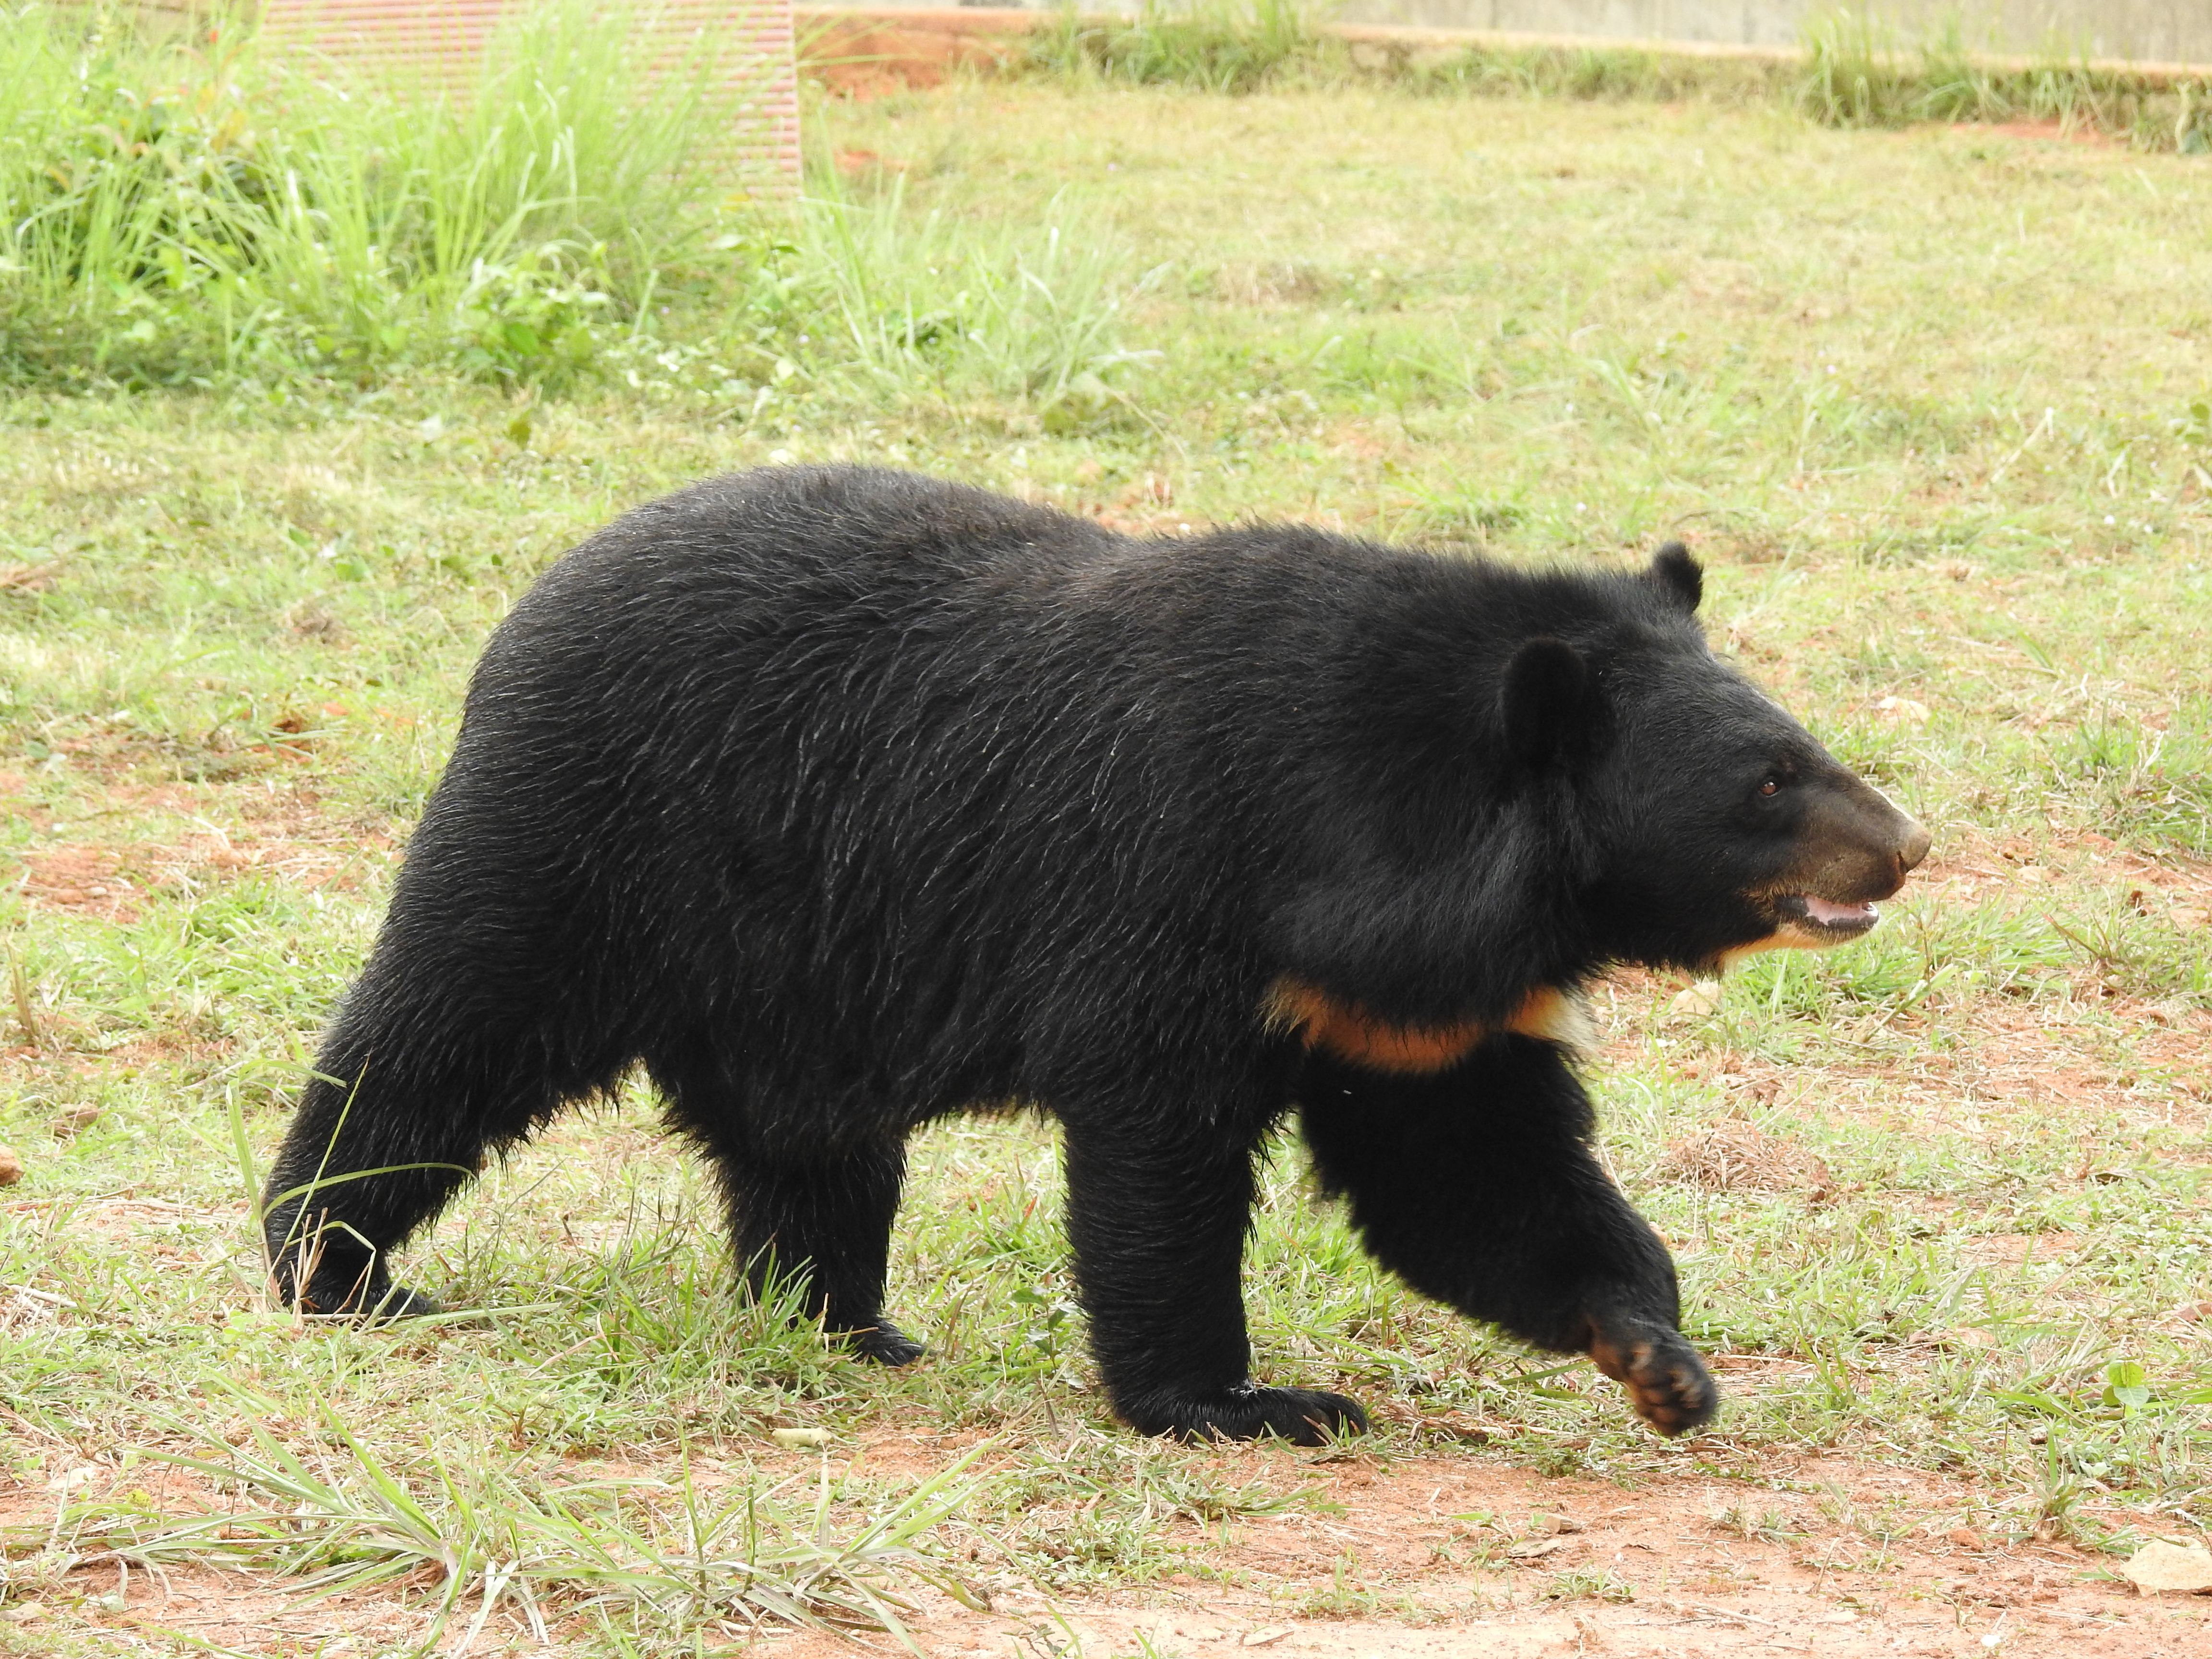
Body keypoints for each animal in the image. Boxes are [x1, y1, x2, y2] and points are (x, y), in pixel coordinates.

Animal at [259, 464, 1929, 1442]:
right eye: (1768, 783)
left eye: (1800, 748)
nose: (1909, 846)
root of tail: (542, 585)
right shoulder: (1177, 898)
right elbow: (1159, 1159)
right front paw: (1244, 1405)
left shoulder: (1406, 1013)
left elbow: (1473, 1176)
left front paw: (1659, 1360)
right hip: (583, 839)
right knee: (443, 1038)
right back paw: (337, 1271)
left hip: (793, 964)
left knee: (814, 1146)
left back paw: (852, 1326)